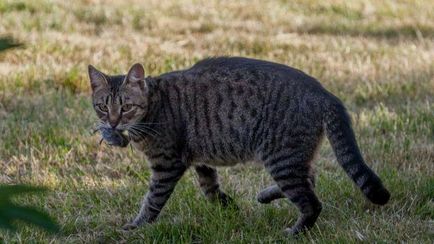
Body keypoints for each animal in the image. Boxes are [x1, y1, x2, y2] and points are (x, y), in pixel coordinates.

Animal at [88, 56, 390, 234]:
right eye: (103, 107)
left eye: (126, 107)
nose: (112, 124)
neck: (153, 107)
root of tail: (325, 92)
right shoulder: (200, 160)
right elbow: (210, 188)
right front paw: (228, 208)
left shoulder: (167, 164)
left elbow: (153, 199)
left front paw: (136, 226)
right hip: (294, 157)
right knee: (310, 180)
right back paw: (266, 196)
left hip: (281, 158)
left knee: (312, 202)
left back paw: (295, 232)